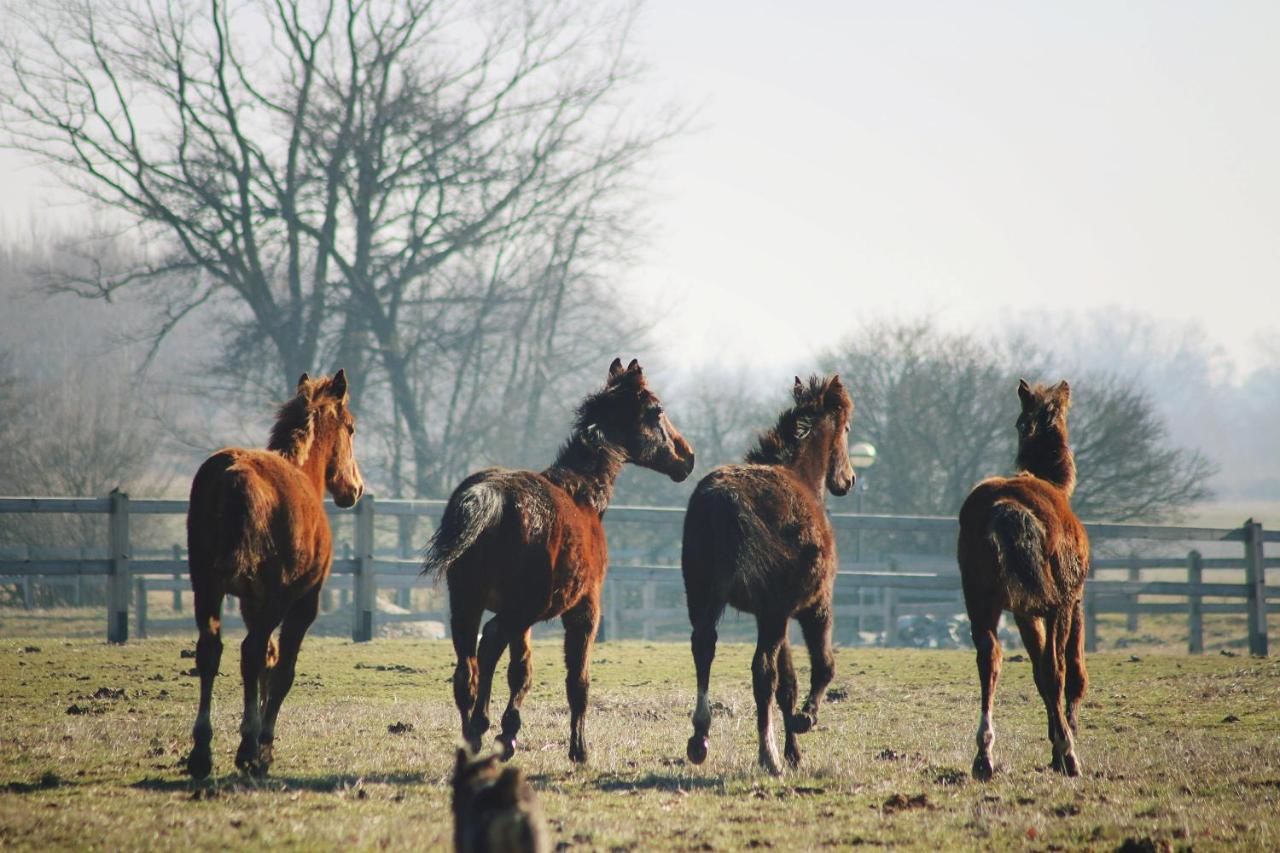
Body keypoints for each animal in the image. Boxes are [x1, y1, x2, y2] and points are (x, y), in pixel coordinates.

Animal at [180, 368, 363, 773]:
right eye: (351, 428)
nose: (355, 488)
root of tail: (233, 476)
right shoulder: (303, 602)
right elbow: (282, 669)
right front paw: (263, 744)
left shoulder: (249, 601)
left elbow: (267, 659)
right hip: (276, 597)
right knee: (249, 651)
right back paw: (250, 748)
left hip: (207, 587)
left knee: (211, 651)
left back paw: (201, 751)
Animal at [680, 371, 849, 768]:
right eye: (847, 428)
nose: (848, 479)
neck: (801, 475)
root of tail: (721, 503)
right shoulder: (810, 606)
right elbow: (822, 666)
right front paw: (805, 721)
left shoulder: (772, 613)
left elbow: (788, 685)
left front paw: (795, 752)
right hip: (772, 612)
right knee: (761, 671)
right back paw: (767, 754)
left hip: (704, 597)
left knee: (704, 646)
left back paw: (700, 738)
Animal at [962, 379, 1090, 778]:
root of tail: (1004, 507)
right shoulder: (1072, 601)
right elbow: (1070, 672)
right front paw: (1062, 741)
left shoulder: (1022, 611)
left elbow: (1036, 672)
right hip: (1055, 603)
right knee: (1056, 669)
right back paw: (1069, 753)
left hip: (980, 599)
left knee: (989, 659)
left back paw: (984, 756)